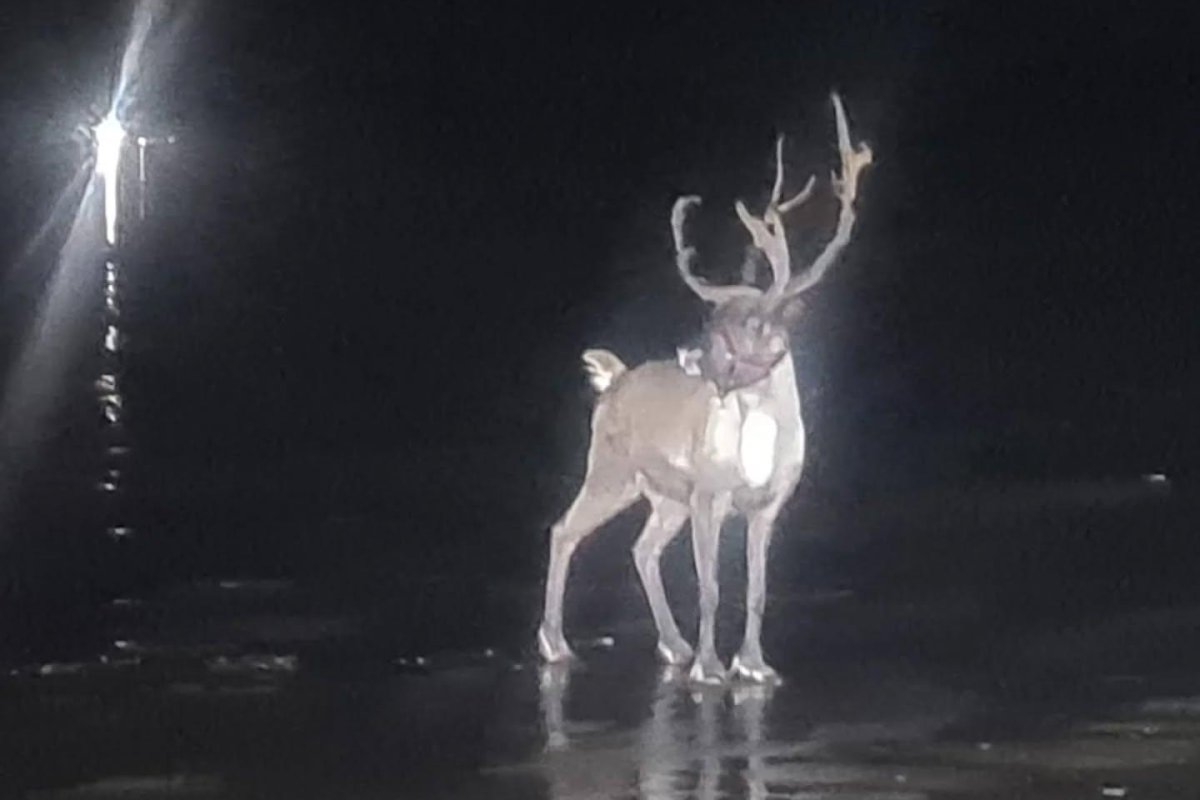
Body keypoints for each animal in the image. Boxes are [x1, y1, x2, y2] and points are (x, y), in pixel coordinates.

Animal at [537, 92, 873, 685]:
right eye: (711, 319)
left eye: (751, 324)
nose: (691, 355)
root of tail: (614, 378)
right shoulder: (708, 495)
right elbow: (711, 587)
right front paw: (712, 667)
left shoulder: (767, 505)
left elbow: (758, 590)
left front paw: (755, 664)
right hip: (612, 469)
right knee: (564, 530)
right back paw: (556, 644)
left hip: (662, 495)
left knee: (641, 548)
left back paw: (672, 645)